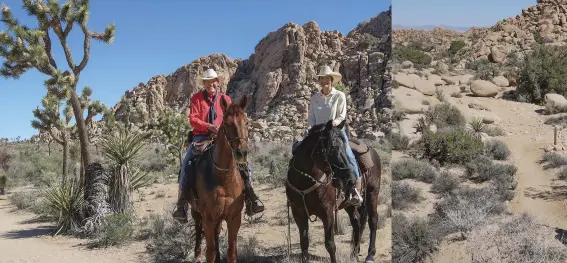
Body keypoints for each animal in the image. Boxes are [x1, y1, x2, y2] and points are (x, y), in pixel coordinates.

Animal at [187, 96, 250, 262]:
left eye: (247, 122)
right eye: (227, 123)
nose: (242, 153)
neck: (224, 178)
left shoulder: (234, 217)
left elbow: (232, 251)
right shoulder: (208, 218)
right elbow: (210, 252)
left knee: (216, 232)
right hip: (195, 210)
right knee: (198, 226)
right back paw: (197, 253)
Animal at [288, 122, 382, 263]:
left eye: (344, 148)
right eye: (333, 148)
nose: (350, 178)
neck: (305, 181)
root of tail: (372, 151)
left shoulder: (327, 212)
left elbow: (330, 244)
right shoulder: (298, 213)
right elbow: (304, 242)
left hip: (372, 193)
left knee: (373, 221)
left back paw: (370, 254)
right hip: (349, 204)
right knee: (357, 222)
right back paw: (354, 252)